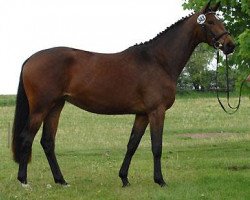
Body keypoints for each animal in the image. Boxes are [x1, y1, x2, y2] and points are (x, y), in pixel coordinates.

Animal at [11, 1, 234, 188]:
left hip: (56, 106)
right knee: (26, 138)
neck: (158, 60)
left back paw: (61, 181)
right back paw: (24, 181)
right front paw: (160, 180)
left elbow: (132, 144)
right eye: (211, 22)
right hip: (40, 108)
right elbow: (157, 146)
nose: (230, 45)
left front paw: (124, 178)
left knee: (47, 142)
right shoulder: (156, 111)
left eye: (220, 20)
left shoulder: (142, 114)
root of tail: (30, 58)